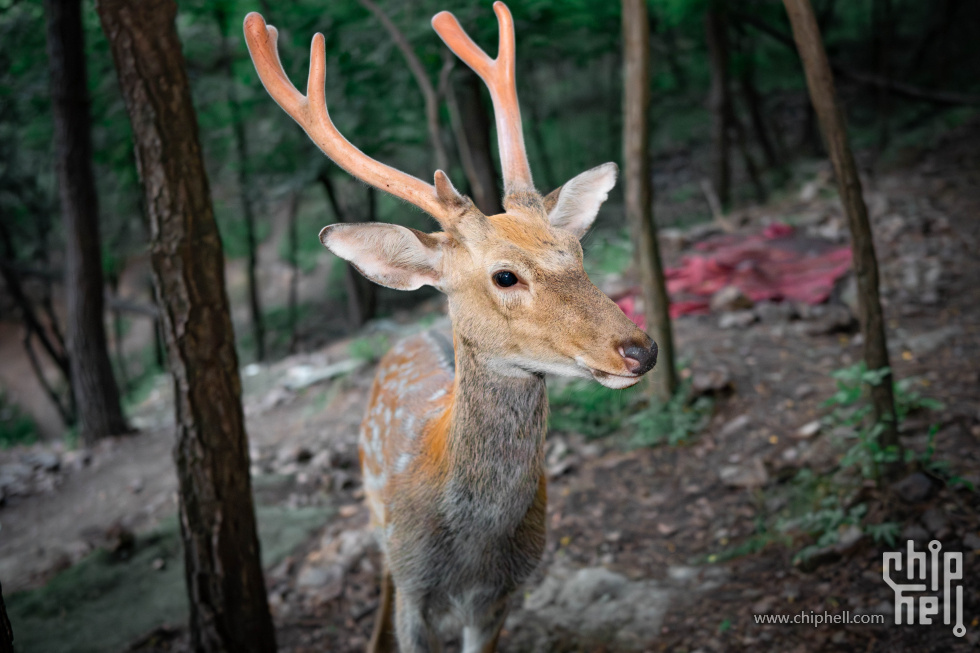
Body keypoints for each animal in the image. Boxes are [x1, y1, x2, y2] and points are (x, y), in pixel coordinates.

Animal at [244, 2, 660, 648]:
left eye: (577, 251)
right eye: (505, 276)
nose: (640, 349)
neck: (471, 550)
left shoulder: (502, 596)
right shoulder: (416, 590)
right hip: (372, 509)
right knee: (381, 575)